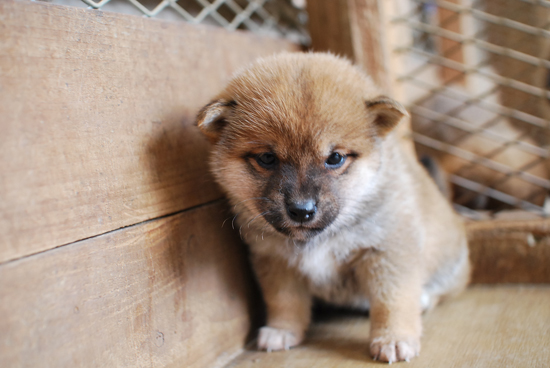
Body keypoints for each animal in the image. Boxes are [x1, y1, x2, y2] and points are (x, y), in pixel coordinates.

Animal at [196, 53, 472, 364]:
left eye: (335, 158)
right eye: (267, 158)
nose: (301, 210)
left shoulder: (388, 251)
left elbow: (393, 300)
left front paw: (394, 338)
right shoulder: (275, 261)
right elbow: (284, 301)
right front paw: (282, 330)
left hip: (450, 264)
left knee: (445, 289)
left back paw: (425, 299)